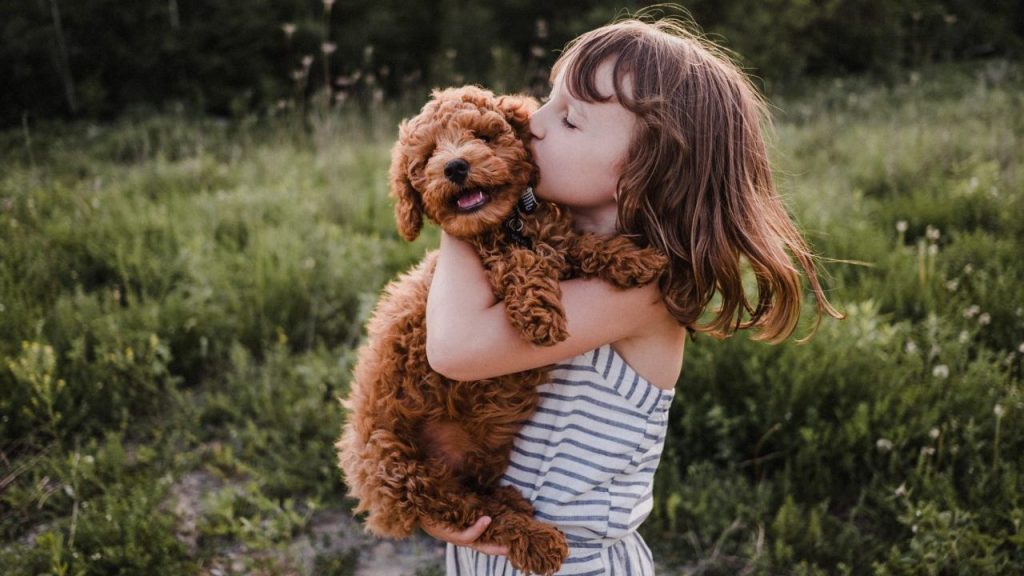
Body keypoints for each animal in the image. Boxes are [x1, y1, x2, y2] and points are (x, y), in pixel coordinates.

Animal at [339, 85, 667, 573]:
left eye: (482, 136)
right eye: (429, 155)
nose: (455, 166)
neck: (507, 225)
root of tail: (375, 499)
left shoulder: (553, 240)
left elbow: (577, 245)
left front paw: (632, 257)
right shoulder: (495, 263)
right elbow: (520, 262)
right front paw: (541, 314)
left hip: (479, 452)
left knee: (479, 495)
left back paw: (515, 502)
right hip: (401, 469)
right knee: (473, 514)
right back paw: (536, 539)